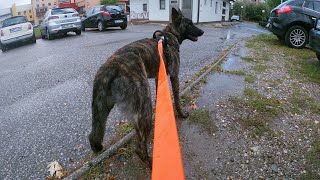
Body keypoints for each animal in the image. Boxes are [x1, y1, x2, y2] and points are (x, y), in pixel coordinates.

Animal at [89, 7, 204, 168]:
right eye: (189, 23)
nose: (202, 31)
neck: (169, 36)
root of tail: (111, 66)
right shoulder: (174, 76)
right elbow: (176, 98)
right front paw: (181, 113)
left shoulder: (158, 78)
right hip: (144, 104)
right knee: (139, 148)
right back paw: (151, 163)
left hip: (104, 108)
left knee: (94, 135)